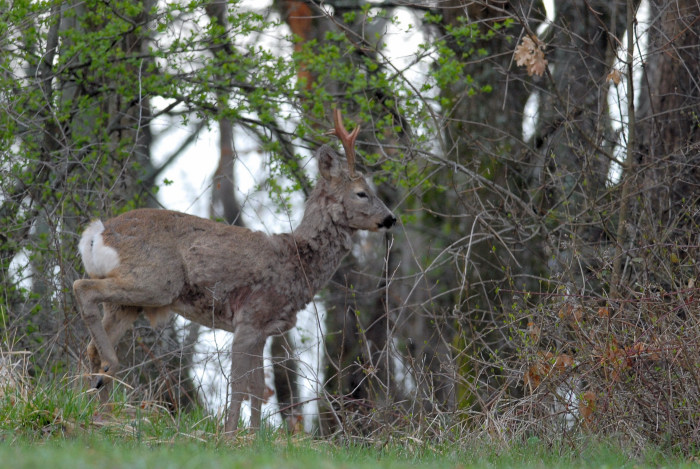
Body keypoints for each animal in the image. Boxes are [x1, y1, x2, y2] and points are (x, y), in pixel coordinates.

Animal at [75, 109, 400, 432]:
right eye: (361, 193)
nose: (391, 218)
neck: (297, 262)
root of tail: (98, 232)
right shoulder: (251, 317)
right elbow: (240, 385)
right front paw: (230, 434)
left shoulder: (265, 328)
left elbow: (257, 388)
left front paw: (253, 436)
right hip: (155, 282)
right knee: (82, 289)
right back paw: (109, 372)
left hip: (129, 303)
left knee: (91, 344)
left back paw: (101, 413)